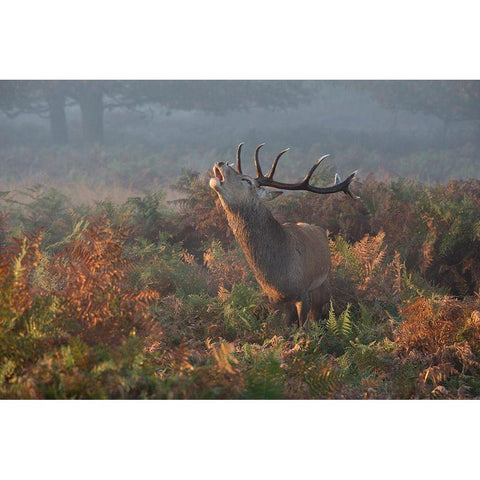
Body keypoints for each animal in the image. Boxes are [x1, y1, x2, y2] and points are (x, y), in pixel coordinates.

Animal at [208, 142, 358, 328]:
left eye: (246, 180)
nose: (220, 163)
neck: (279, 274)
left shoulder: (303, 292)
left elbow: (303, 328)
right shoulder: (273, 299)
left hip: (323, 284)